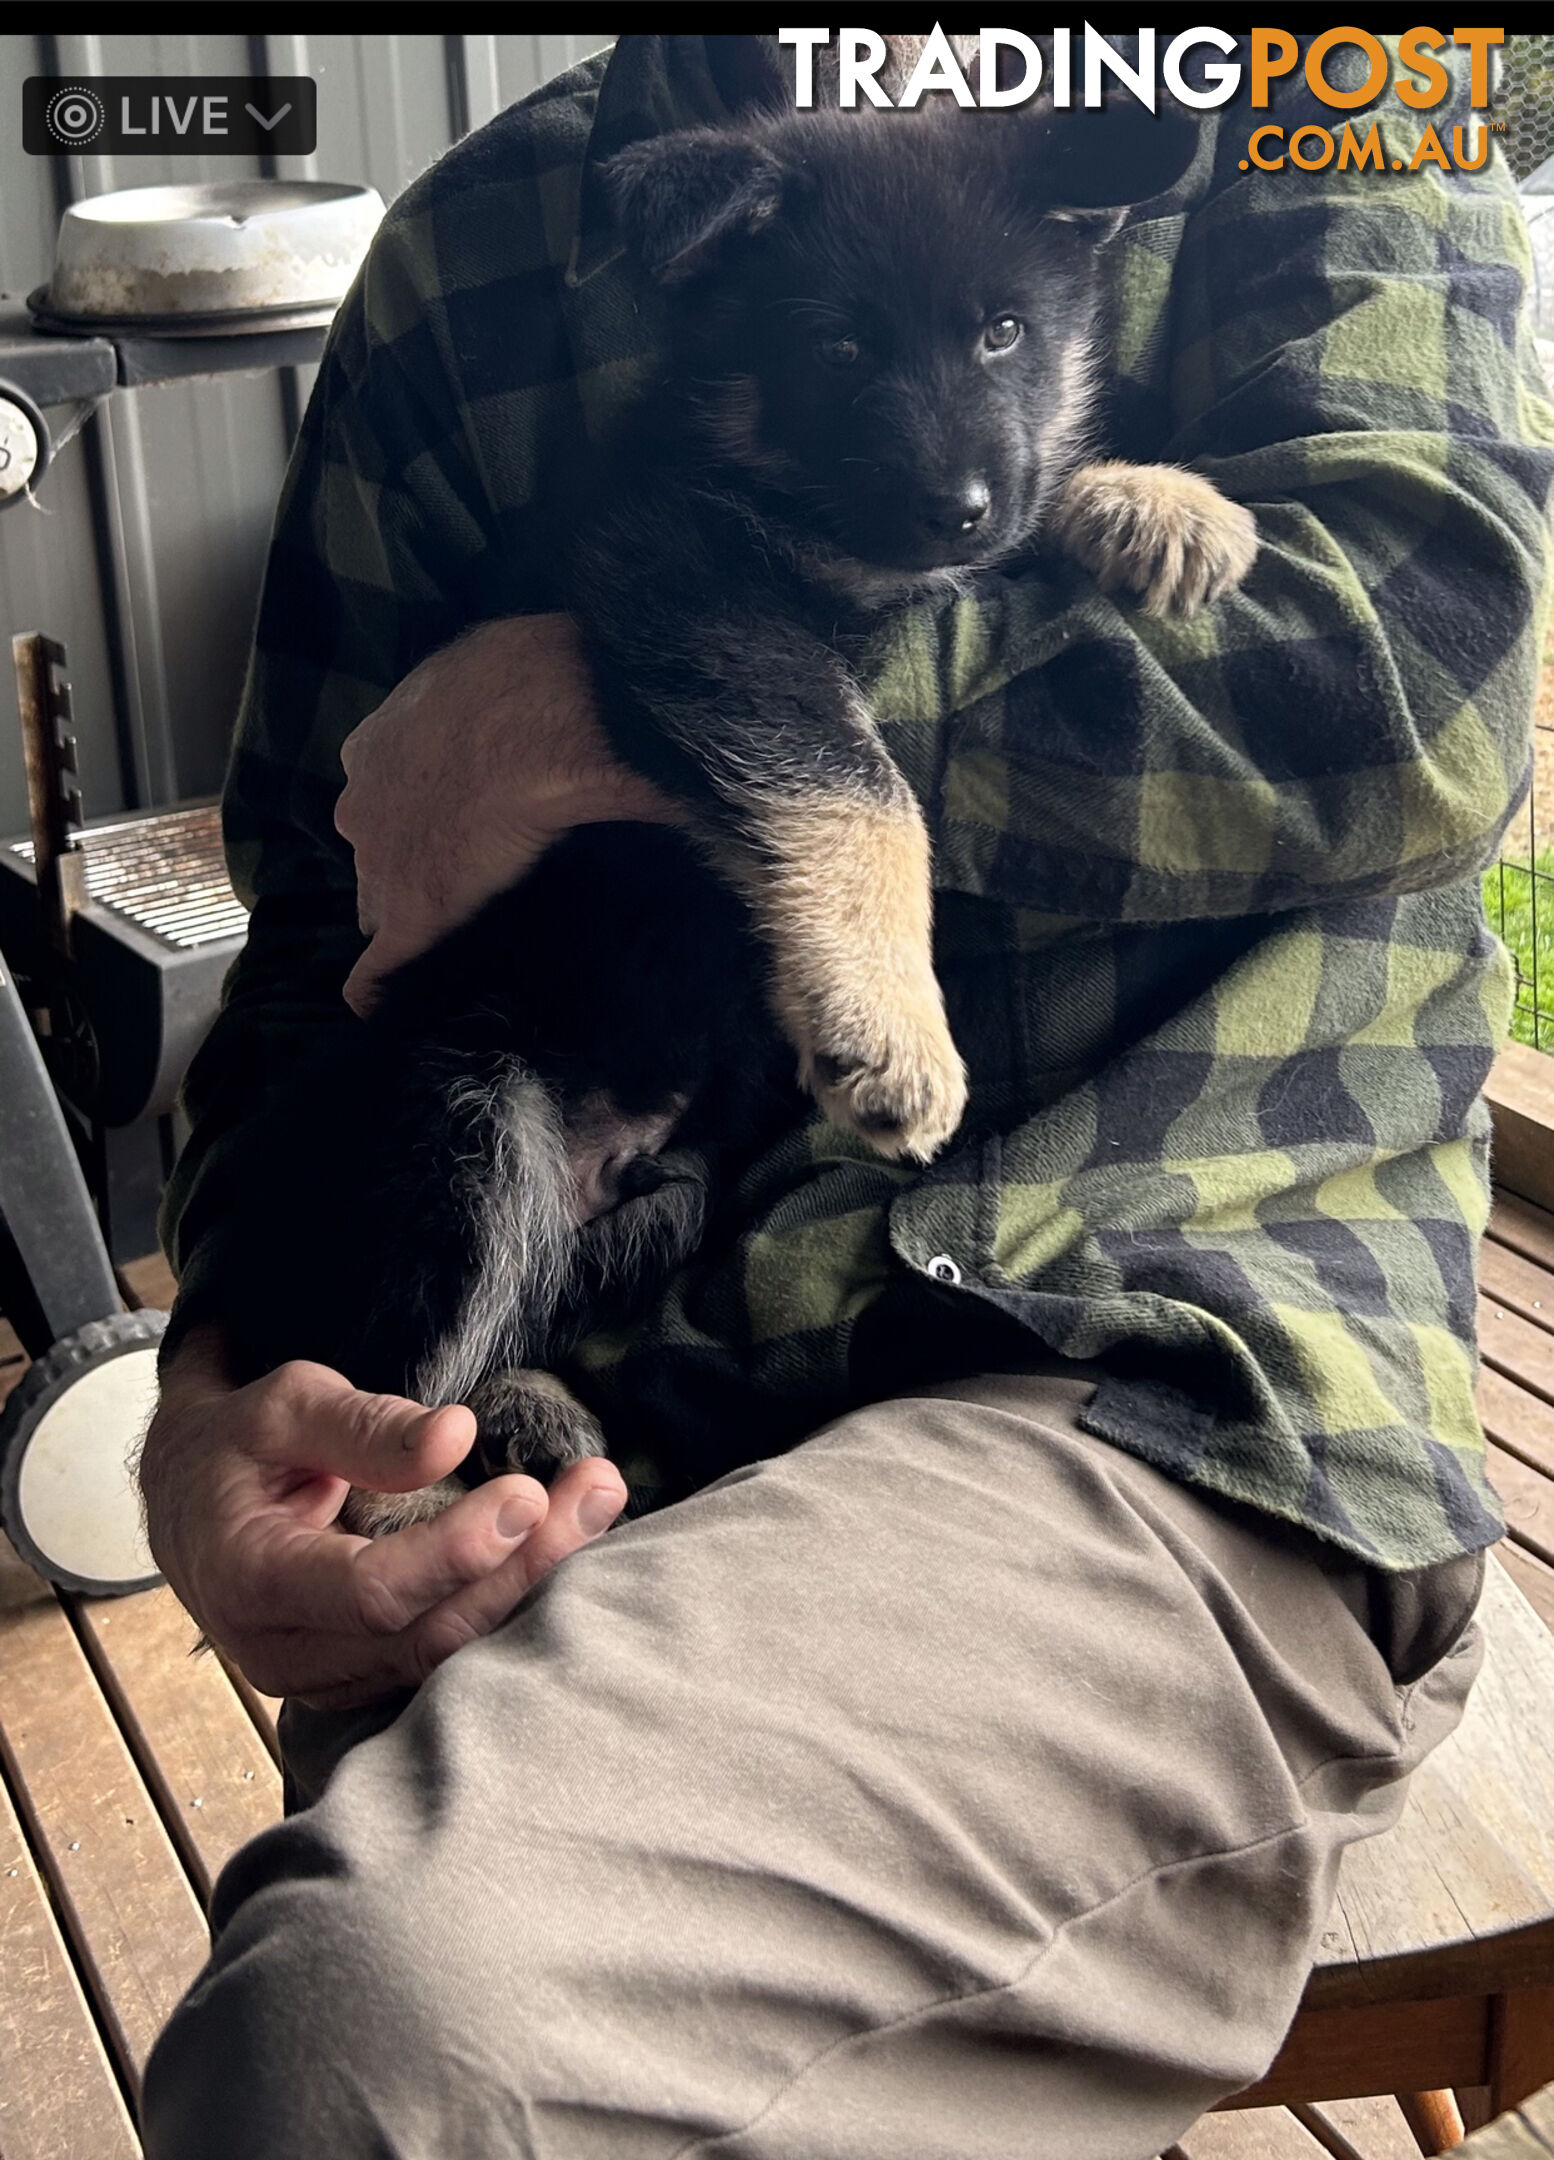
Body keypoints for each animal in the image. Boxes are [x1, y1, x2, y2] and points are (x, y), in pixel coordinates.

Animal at [212, 92, 1262, 1529]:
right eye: (837, 346)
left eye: (1003, 332)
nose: (954, 505)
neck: (750, 455)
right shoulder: (689, 583)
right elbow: (857, 781)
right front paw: (889, 1024)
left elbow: (1012, 525)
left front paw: (1145, 498)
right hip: (469, 1116)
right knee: (385, 1387)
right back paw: (427, 1500)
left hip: (663, 1195)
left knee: (531, 1301)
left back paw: (529, 1407)